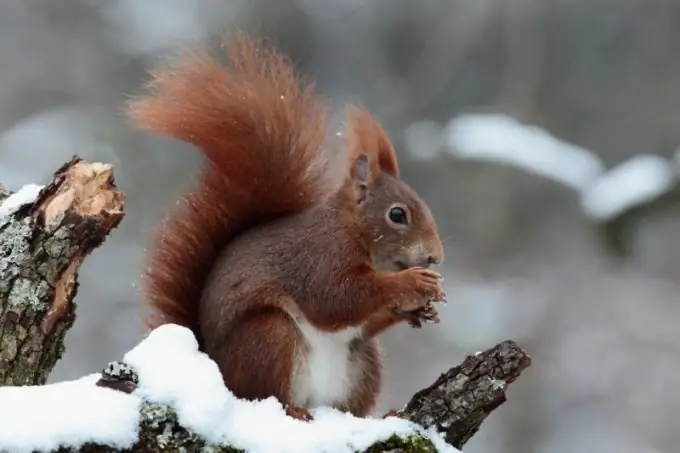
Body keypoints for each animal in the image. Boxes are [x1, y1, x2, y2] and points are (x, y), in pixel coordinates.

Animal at [127, 37, 446, 418]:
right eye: (397, 215)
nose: (435, 257)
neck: (350, 229)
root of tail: (215, 367)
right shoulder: (320, 257)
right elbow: (336, 299)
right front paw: (411, 283)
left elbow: (364, 319)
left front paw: (420, 308)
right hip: (269, 336)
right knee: (265, 393)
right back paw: (294, 411)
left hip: (364, 360)